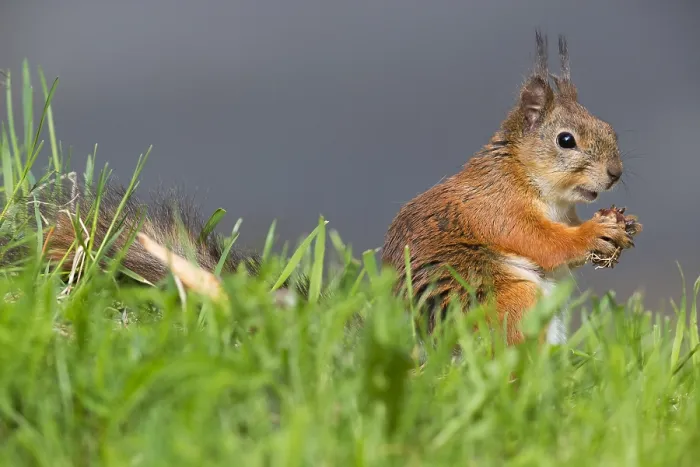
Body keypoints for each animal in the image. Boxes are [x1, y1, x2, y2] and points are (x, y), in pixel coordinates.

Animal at [381, 31, 642, 346]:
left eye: (609, 129)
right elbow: (545, 243)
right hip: (511, 299)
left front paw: (624, 223)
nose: (615, 173)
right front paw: (595, 232)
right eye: (566, 140)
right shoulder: (499, 210)